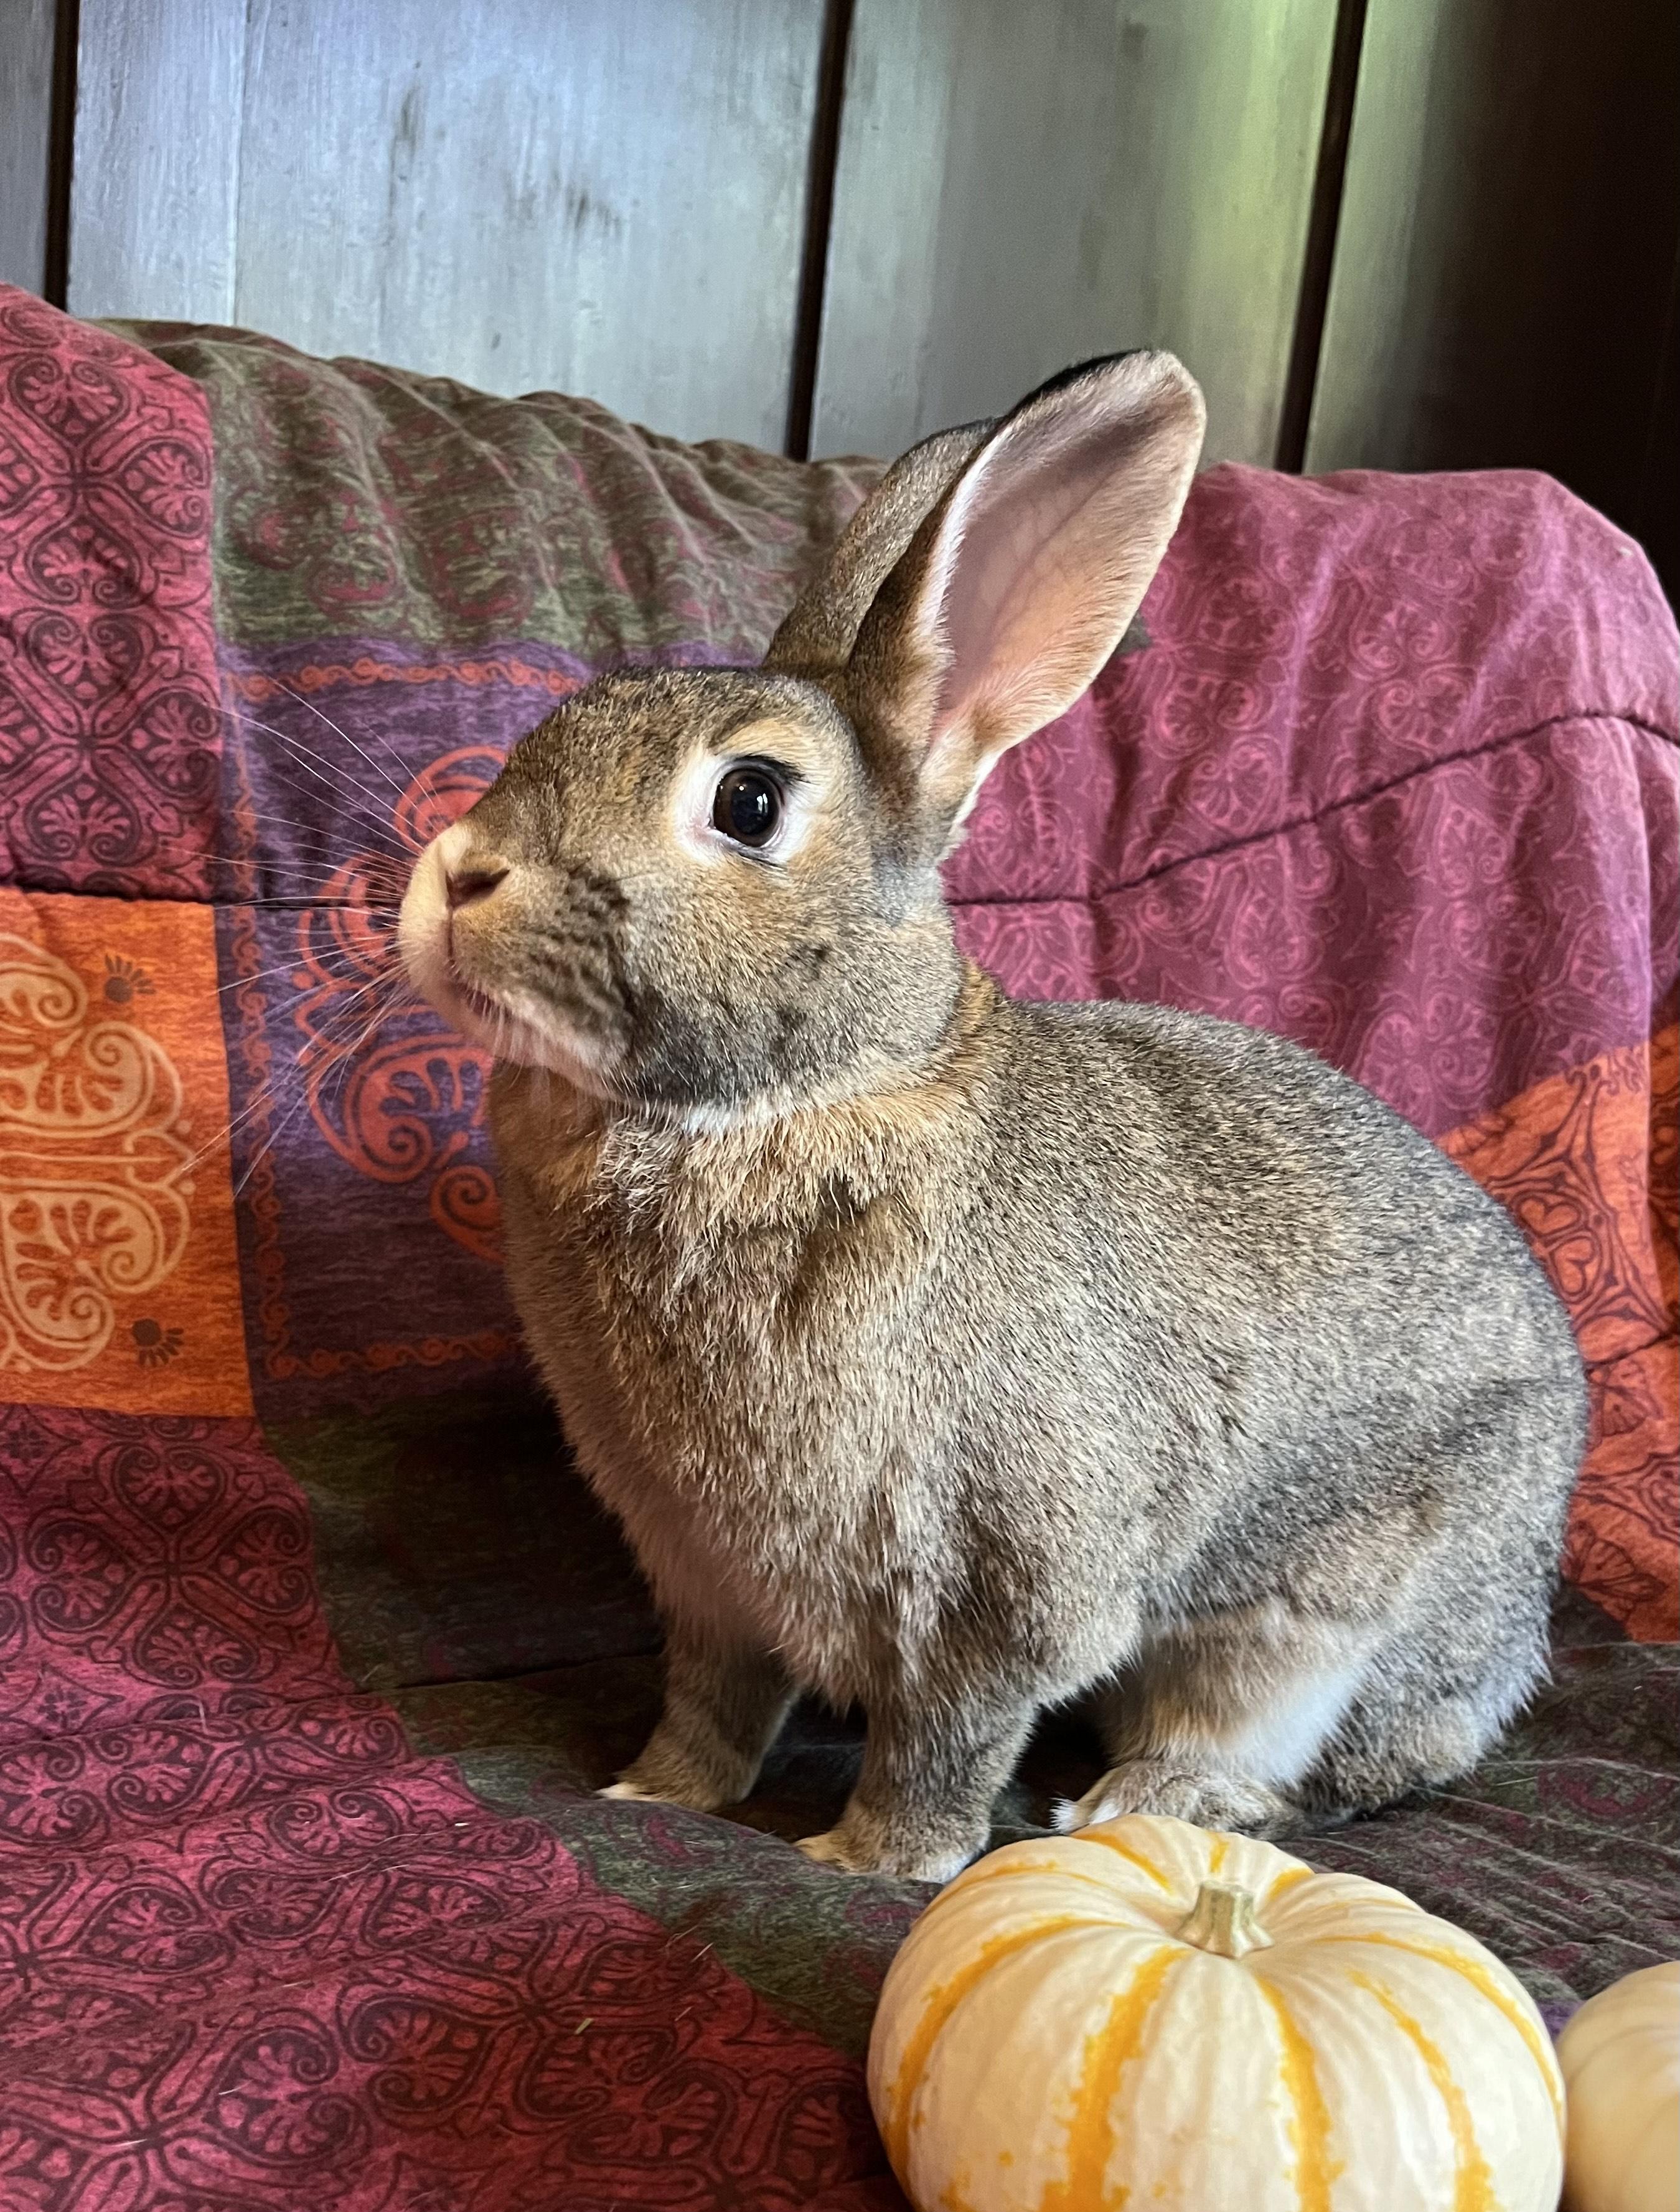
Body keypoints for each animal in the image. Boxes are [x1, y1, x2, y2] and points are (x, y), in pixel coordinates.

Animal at [397, 351, 1586, 1883]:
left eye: (748, 800)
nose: (456, 876)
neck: (804, 1094)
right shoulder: (708, 1580)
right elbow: (713, 1701)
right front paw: (651, 1794)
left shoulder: (991, 1575)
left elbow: (946, 1733)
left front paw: (865, 1860)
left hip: (1318, 1632)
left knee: (1303, 1756)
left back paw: (1141, 1800)